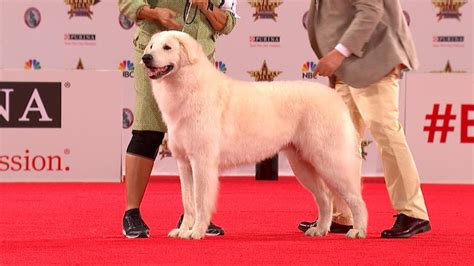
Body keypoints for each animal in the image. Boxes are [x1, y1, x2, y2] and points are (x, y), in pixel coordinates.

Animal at [143, 30, 368, 240]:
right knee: (325, 198)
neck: (188, 87)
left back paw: (357, 231)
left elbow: (200, 201)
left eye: (167, 47)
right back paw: (319, 230)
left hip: (329, 161)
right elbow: (188, 201)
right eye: (152, 46)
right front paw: (182, 230)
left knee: (356, 199)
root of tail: (335, 97)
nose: (146, 57)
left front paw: (196, 232)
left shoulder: (202, 161)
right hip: (303, 165)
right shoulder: (183, 163)